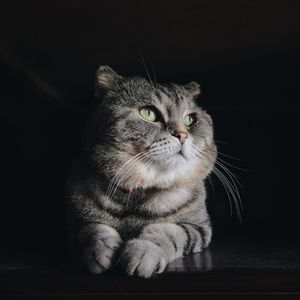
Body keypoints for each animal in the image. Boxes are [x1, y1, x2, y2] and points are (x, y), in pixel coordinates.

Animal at [65, 66, 216, 278]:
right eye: (149, 113)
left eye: (190, 119)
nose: (183, 135)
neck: (138, 192)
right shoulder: (78, 223)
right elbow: (96, 231)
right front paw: (100, 253)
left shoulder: (197, 227)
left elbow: (166, 231)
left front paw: (142, 254)